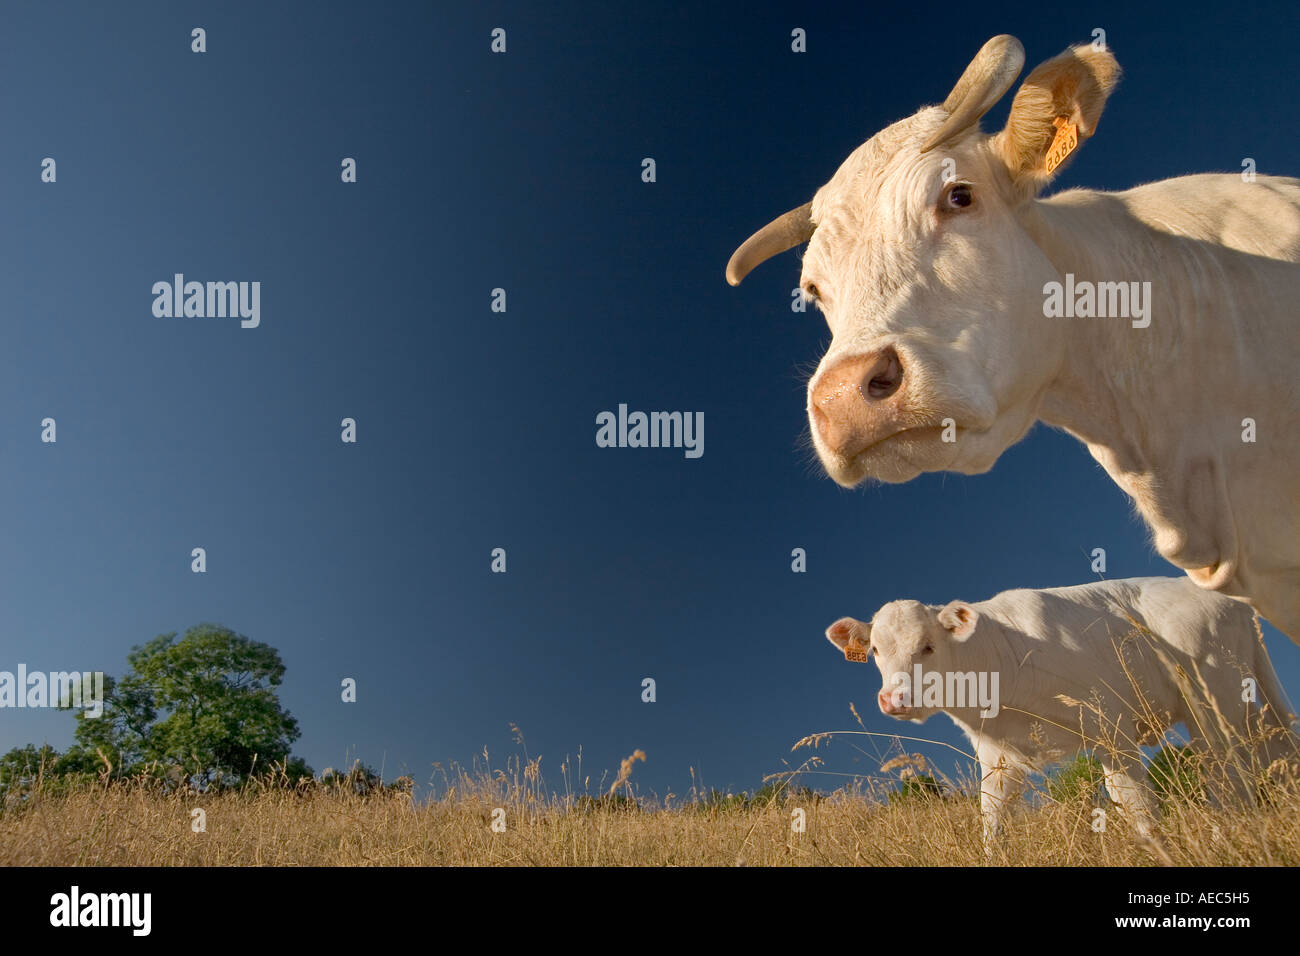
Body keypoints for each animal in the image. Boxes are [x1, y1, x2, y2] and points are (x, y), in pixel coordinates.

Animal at [826, 574, 1294, 853]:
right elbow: (992, 822)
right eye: (875, 650)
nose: (894, 699)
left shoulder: (1112, 731)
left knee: (1231, 779)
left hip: (1215, 707)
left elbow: (1140, 812)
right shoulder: (996, 755)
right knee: (1274, 757)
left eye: (927, 646)